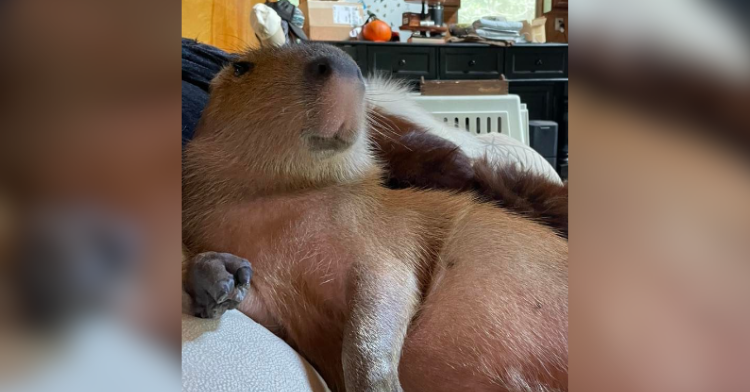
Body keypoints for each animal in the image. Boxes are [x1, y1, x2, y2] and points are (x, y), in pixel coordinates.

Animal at [184, 43, 568, 392]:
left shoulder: (382, 245)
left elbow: (375, 313)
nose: (346, 66)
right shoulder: (280, 308)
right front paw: (218, 277)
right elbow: (259, 305)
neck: (282, 195)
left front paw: (378, 384)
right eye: (240, 67)